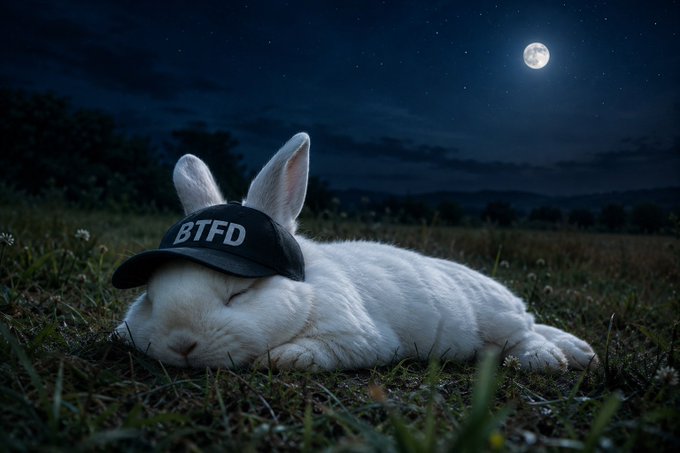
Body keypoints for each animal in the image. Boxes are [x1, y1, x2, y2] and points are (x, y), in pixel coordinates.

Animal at [115, 132, 599, 372]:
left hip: (496, 316)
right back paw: (581, 352)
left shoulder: (360, 338)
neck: (308, 289)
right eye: (151, 297)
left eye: (238, 295)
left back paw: (550, 360)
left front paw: (285, 359)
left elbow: (322, 351)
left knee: (526, 336)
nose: (181, 344)